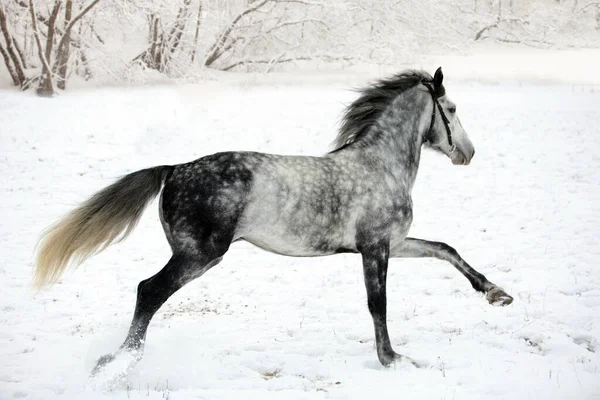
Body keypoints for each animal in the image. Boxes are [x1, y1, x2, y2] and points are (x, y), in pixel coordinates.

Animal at [34, 67, 510, 376]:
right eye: (451, 108)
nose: (468, 153)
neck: (379, 165)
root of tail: (174, 169)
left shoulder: (393, 242)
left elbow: (445, 249)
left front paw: (496, 293)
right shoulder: (375, 247)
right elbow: (379, 303)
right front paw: (393, 359)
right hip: (200, 254)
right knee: (148, 291)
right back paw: (118, 361)